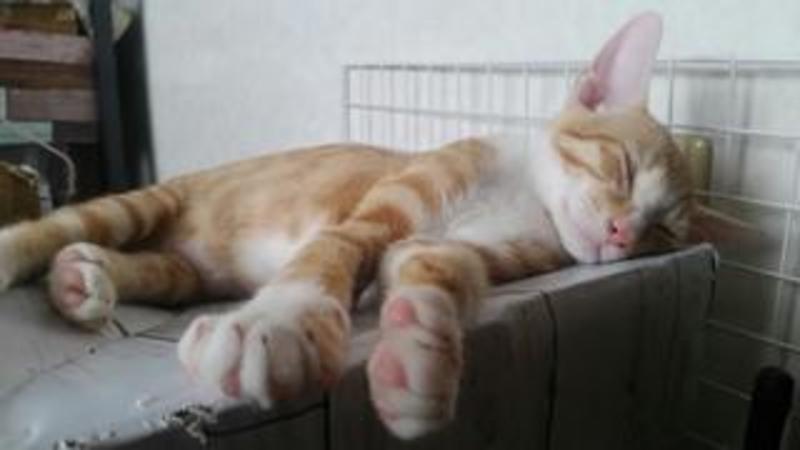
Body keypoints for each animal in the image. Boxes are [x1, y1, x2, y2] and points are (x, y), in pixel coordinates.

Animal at [0, 12, 737, 439]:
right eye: (621, 167)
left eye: (663, 233)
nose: (621, 236)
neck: (524, 197)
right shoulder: (393, 202)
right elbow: (336, 246)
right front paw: (279, 324)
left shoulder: (467, 248)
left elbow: (431, 265)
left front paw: (418, 351)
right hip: (150, 202)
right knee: (68, 225)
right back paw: (34, 255)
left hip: (185, 269)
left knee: (159, 269)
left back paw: (81, 279)